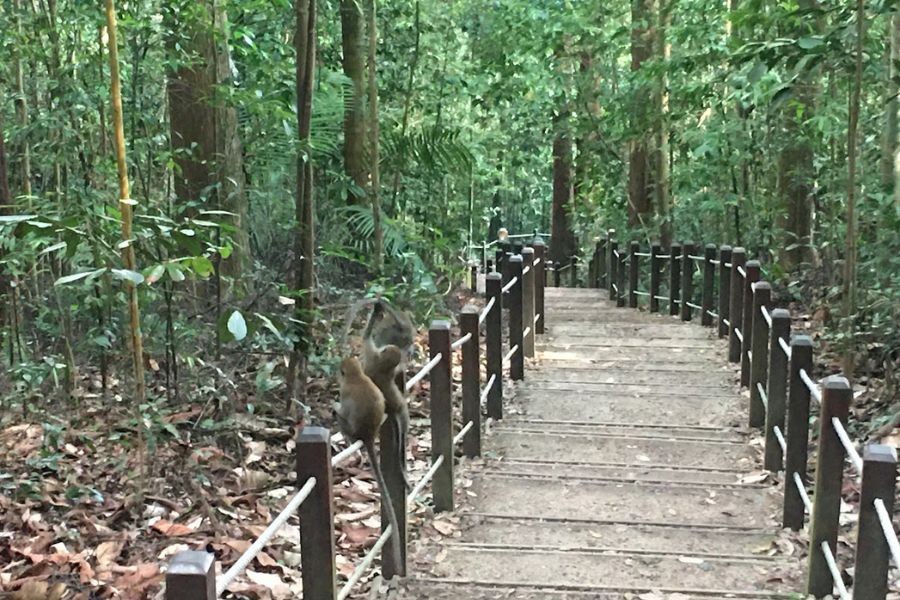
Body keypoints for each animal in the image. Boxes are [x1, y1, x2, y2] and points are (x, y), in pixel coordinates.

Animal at [336, 356, 402, 572]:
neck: (357, 376)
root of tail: (369, 433)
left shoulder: (345, 392)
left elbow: (343, 409)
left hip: (351, 428)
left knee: (342, 419)